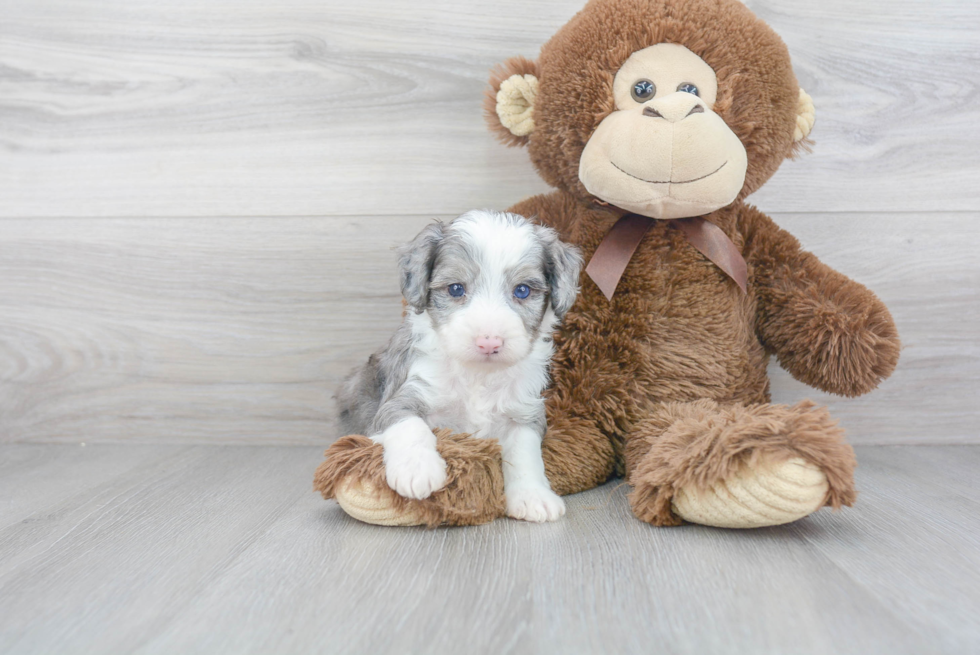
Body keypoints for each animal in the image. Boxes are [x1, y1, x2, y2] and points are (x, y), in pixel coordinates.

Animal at [336, 210, 580, 524]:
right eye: (455, 289)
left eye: (523, 291)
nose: (489, 343)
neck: (477, 375)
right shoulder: (401, 397)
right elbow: (410, 424)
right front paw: (418, 469)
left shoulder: (524, 411)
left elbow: (525, 454)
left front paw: (532, 495)